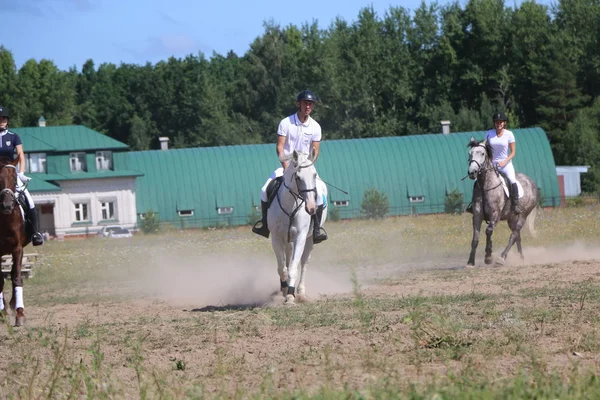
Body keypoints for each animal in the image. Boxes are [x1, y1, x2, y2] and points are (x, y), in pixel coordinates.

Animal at [270, 149, 330, 304]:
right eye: (298, 177)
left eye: (314, 175)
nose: (311, 208)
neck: (291, 205)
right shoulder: (276, 238)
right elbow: (282, 268)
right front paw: (285, 289)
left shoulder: (301, 237)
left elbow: (293, 268)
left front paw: (291, 296)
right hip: (287, 241)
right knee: (287, 260)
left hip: (309, 240)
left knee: (303, 263)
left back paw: (301, 293)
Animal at [464, 138, 540, 268]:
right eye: (470, 153)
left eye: (482, 153)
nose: (472, 172)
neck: (485, 186)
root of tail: (531, 182)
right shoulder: (477, 215)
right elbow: (475, 237)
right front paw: (470, 262)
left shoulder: (495, 215)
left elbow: (488, 231)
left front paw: (488, 257)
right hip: (512, 218)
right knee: (517, 236)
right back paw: (521, 258)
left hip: (523, 215)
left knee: (513, 235)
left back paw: (501, 258)